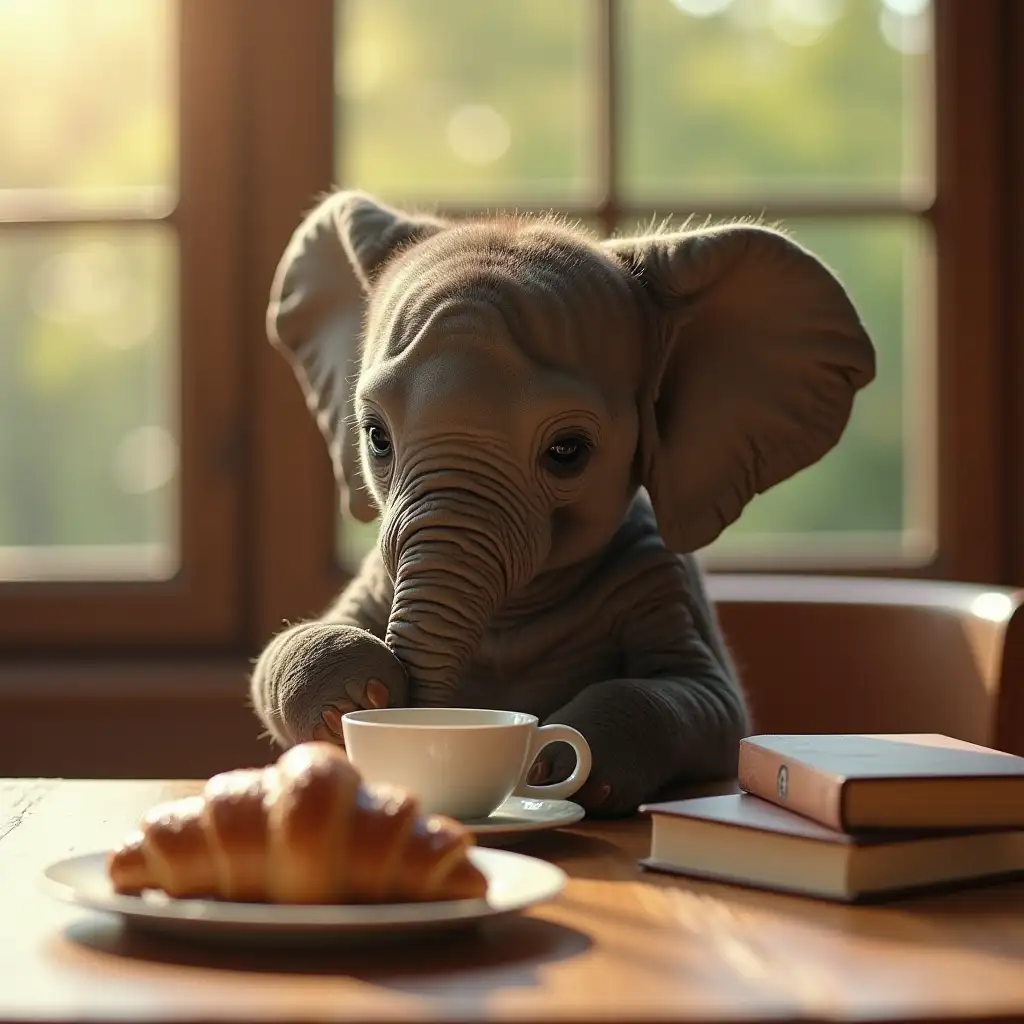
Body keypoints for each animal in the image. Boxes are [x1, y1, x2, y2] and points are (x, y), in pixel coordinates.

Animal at [251, 192, 876, 815]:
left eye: (568, 451)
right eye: (377, 437)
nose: (405, 708)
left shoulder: (657, 572)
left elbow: (709, 704)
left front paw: (555, 762)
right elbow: (274, 658)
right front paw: (357, 690)